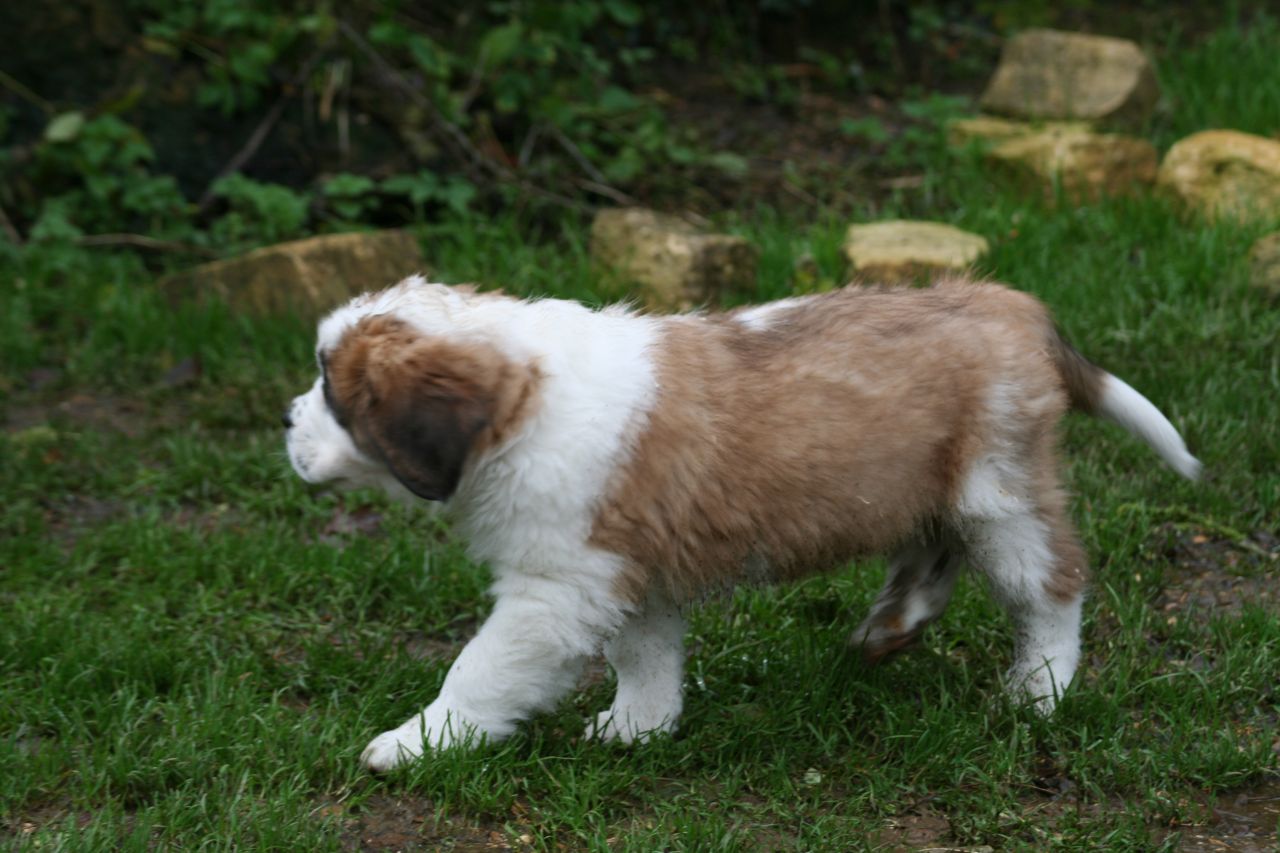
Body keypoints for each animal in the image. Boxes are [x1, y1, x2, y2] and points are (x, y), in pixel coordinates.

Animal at [282, 274, 1198, 768]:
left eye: (331, 386)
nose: (286, 420)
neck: (522, 401)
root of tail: (1000, 300)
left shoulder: (558, 587)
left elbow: (480, 668)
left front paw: (417, 742)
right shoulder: (628, 570)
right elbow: (646, 655)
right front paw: (638, 728)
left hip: (999, 491)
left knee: (1052, 584)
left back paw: (1038, 690)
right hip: (924, 482)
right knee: (933, 551)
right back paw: (892, 624)